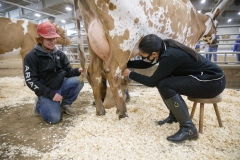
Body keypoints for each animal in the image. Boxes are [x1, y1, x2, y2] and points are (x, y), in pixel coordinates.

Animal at [73, 0, 219, 118]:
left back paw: (100, 111)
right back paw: (122, 112)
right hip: (123, 41)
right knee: (112, 71)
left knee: (95, 74)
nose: (216, 40)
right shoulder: (188, 42)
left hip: (93, 42)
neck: (196, 19)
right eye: (216, 25)